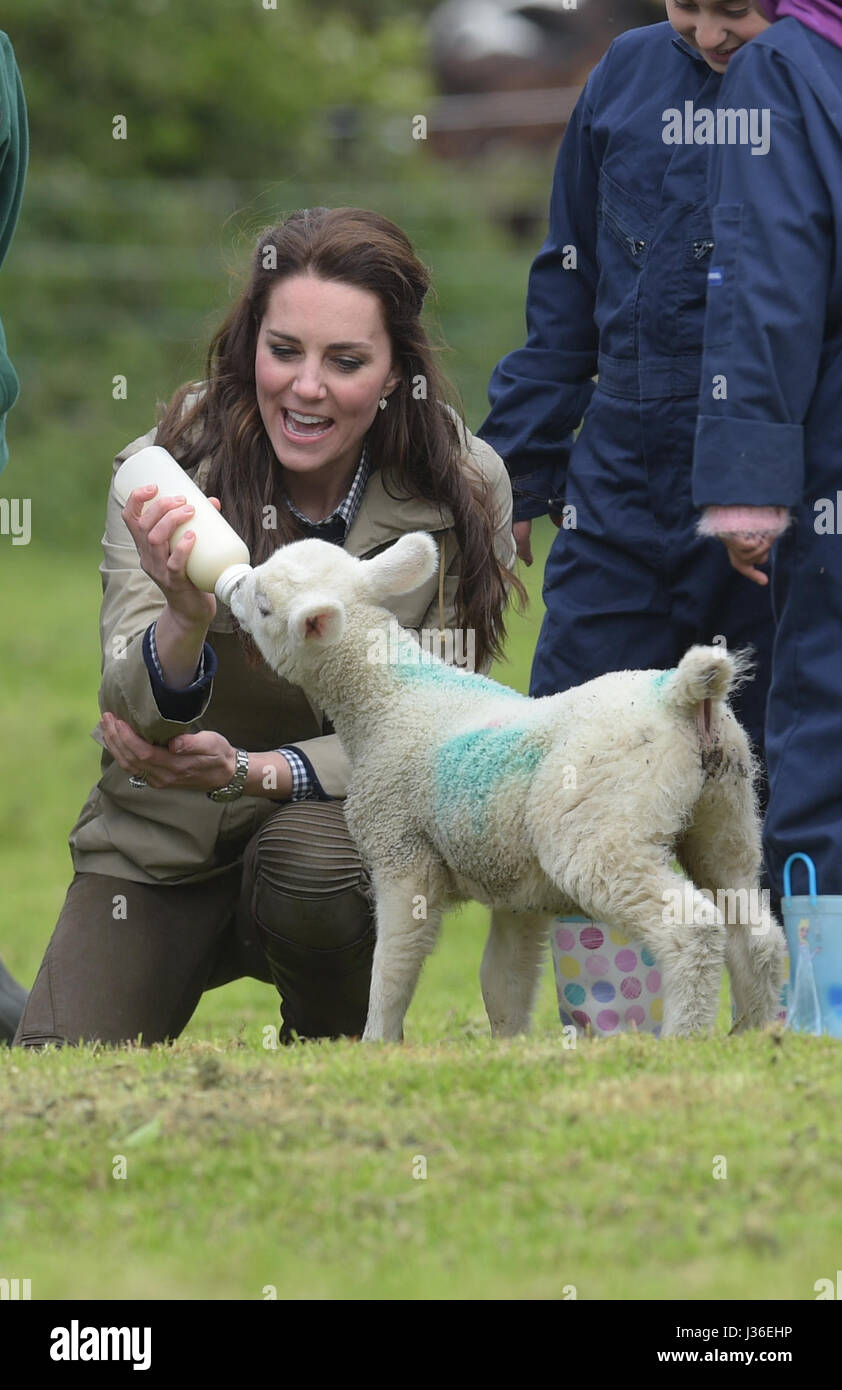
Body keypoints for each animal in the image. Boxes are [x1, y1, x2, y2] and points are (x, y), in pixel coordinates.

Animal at [229, 530, 783, 1045]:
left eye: (264, 605)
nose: (232, 585)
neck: (392, 699)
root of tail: (679, 696)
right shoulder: (517, 888)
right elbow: (503, 980)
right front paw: (510, 1045)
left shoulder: (402, 854)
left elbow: (394, 965)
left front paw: (377, 1041)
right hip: (726, 810)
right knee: (754, 929)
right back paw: (753, 1033)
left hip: (600, 830)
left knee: (692, 928)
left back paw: (683, 1038)